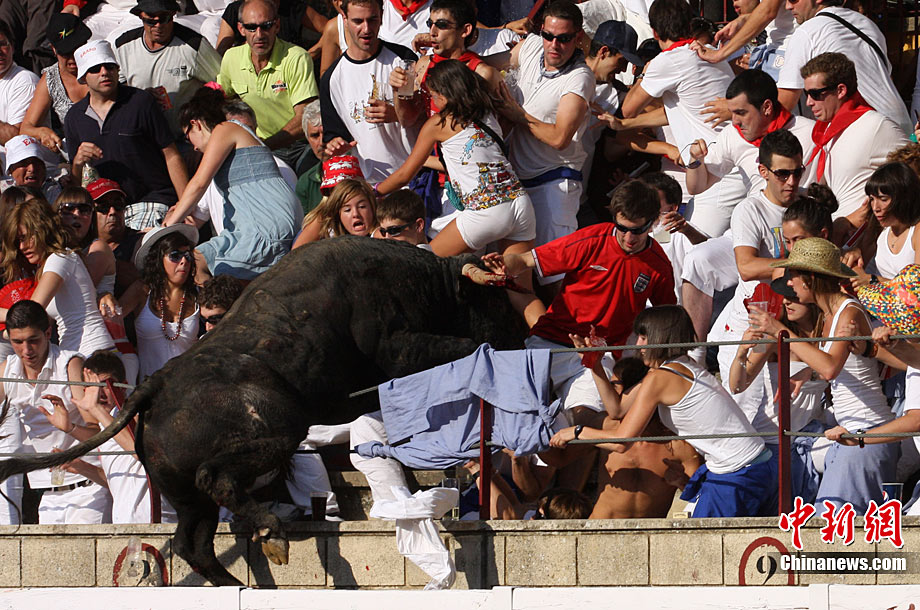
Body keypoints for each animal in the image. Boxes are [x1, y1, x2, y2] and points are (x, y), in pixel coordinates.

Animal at [0, 237, 527, 586]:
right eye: (495, 300)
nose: (522, 341)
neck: (423, 282)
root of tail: (156, 382)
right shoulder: (399, 348)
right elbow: (461, 346)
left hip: (183, 492)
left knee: (193, 542)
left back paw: (234, 582)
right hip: (279, 429)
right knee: (217, 479)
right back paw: (271, 534)